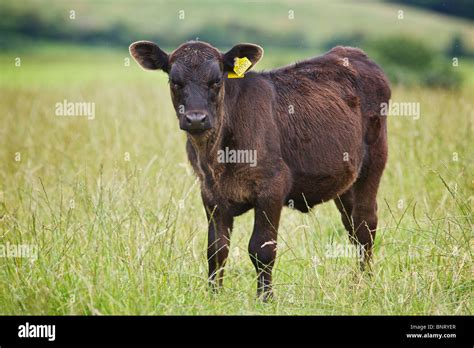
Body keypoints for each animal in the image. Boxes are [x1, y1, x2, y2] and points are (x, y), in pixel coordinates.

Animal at [129, 40, 388, 300]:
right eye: (174, 81)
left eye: (216, 80)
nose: (196, 119)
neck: (218, 156)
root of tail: (351, 52)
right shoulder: (210, 193)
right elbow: (216, 249)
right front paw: (214, 295)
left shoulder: (272, 187)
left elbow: (261, 249)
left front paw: (265, 297)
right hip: (345, 182)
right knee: (351, 226)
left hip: (373, 164)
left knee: (365, 224)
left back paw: (364, 283)